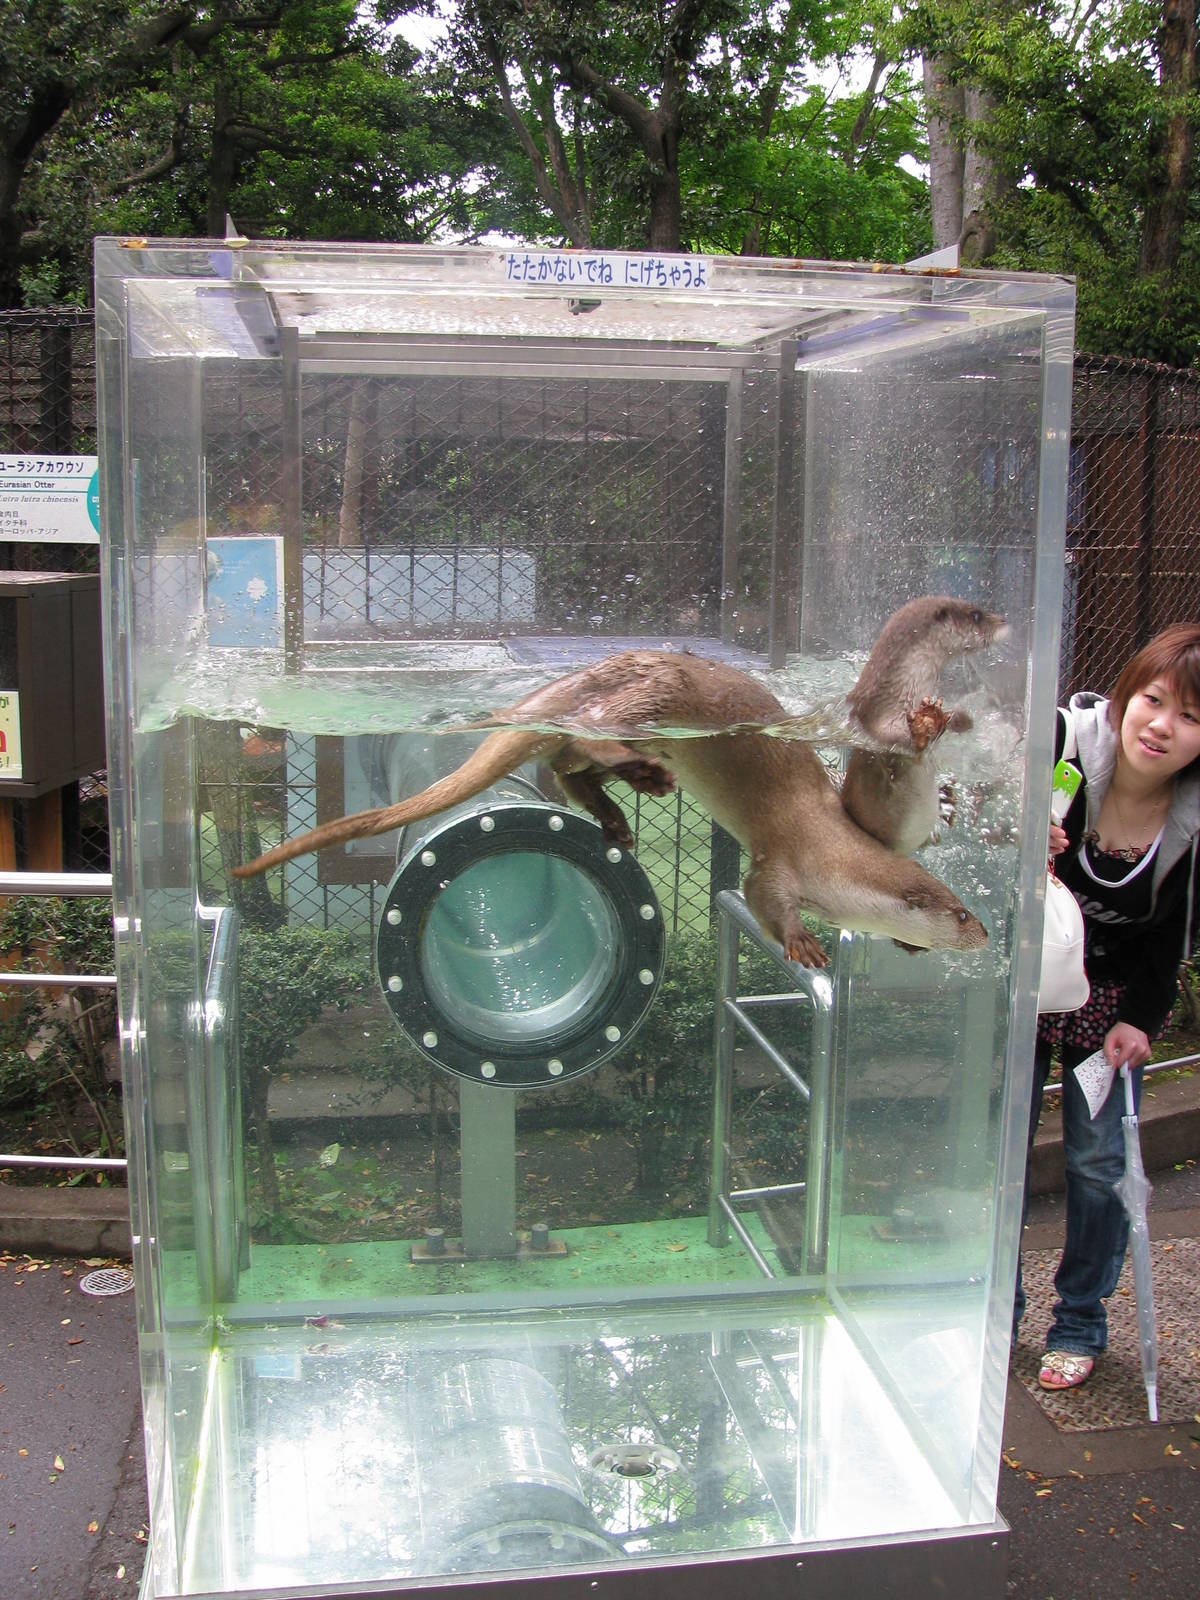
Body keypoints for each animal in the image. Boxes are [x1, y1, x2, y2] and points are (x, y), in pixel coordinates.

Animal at [233, 643, 989, 967]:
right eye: (959, 913)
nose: (984, 933)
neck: (829, 844)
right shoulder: (782, 856)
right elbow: (762, 894)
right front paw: (802, 941)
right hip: (651, 698)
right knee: (584, 740)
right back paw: (642, 777)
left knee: (562, 762)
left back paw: (617, 812)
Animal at [840, 596, 1009, 854]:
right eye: (976, 615)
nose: (1003, 621)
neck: (903, 687)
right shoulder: (878, 722)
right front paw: (923, 732)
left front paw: (960, 719)